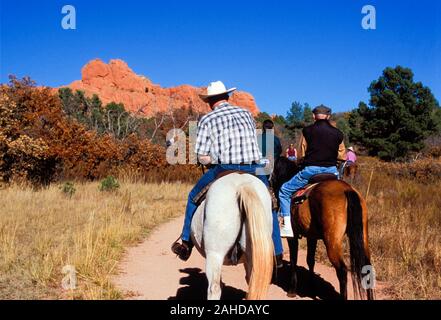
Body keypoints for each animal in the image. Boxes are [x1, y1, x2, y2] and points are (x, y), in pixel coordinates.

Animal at [270, 158, 372, 300]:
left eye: (272, 175)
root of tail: (347, 190)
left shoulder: (293, 236)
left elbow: (294, 259)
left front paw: (292, 289)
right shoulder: (312, 237)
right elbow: (310, 260)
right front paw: (312, 288)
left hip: (332, 242)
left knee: (342, 271)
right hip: (363, 238)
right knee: (367, 268)